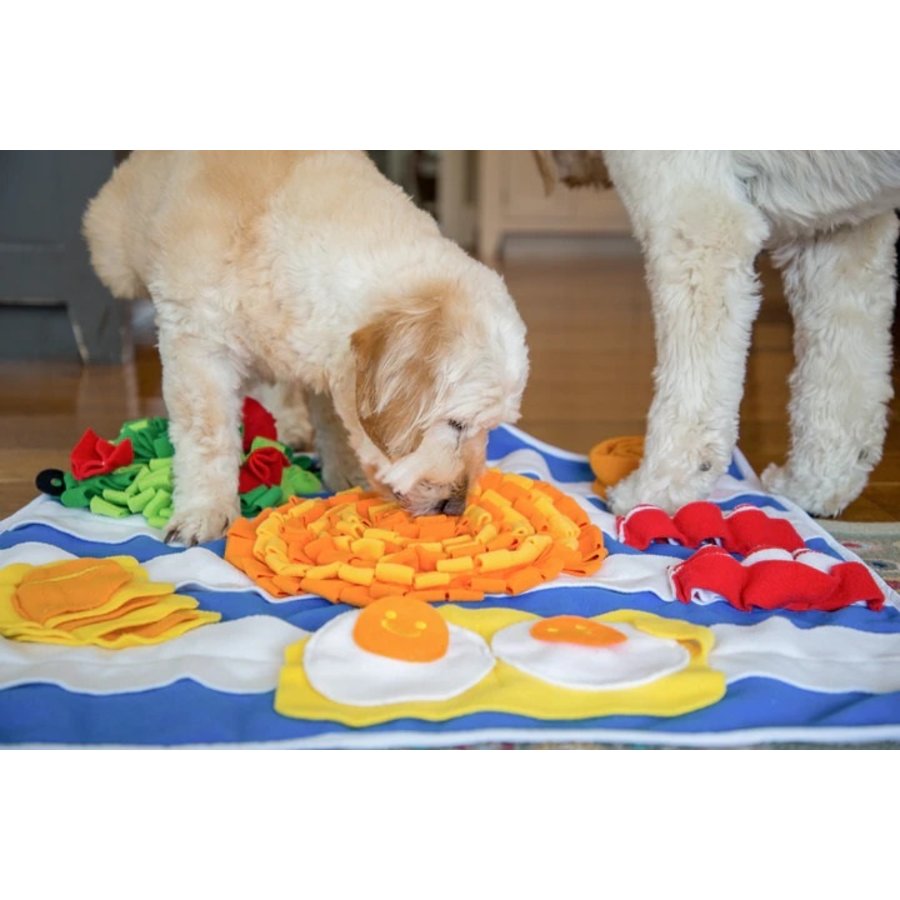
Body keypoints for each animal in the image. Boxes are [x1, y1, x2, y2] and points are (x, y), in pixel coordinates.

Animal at [84, 152, 528, 544]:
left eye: (490, 429)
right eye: (456, 425)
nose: (456, 507)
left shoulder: (325, 355)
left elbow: (333, 419)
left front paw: (344, 470)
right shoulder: (198, 347)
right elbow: (207, 438)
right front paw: (205, 510)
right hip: (114, 255)